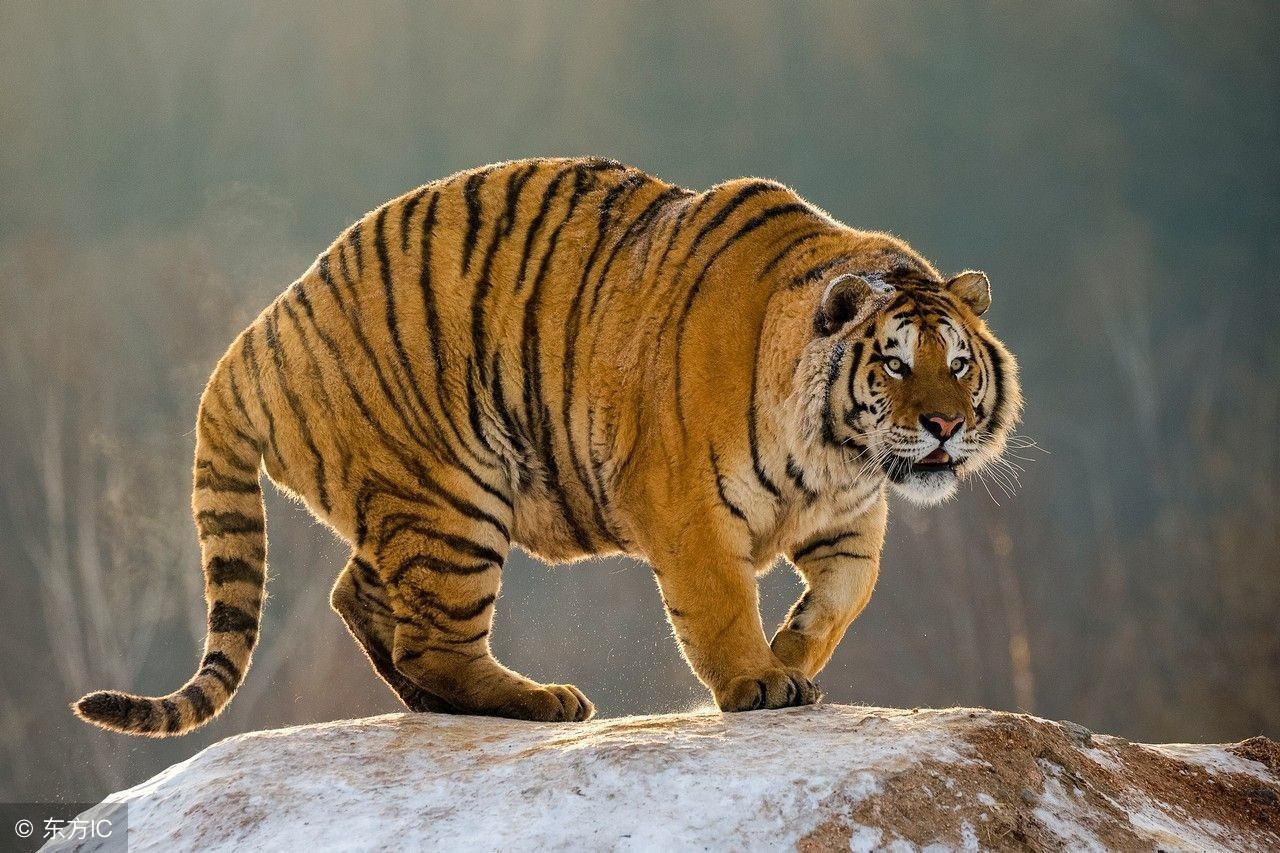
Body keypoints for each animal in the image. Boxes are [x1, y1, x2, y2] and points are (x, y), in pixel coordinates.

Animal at [72, 157, 1021, 736]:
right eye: (894, 364)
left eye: (958, 363)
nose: (943, 426)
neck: (834, 455)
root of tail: (260, 329)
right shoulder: (685, 505)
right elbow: (720, 604)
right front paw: (756, 680)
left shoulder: (851, 519)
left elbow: (844, 597)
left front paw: (792, 655)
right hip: (455, 493)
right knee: (433, 638)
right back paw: (541, 701)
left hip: (409, 505)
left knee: (362, 600)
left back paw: (449, 703)